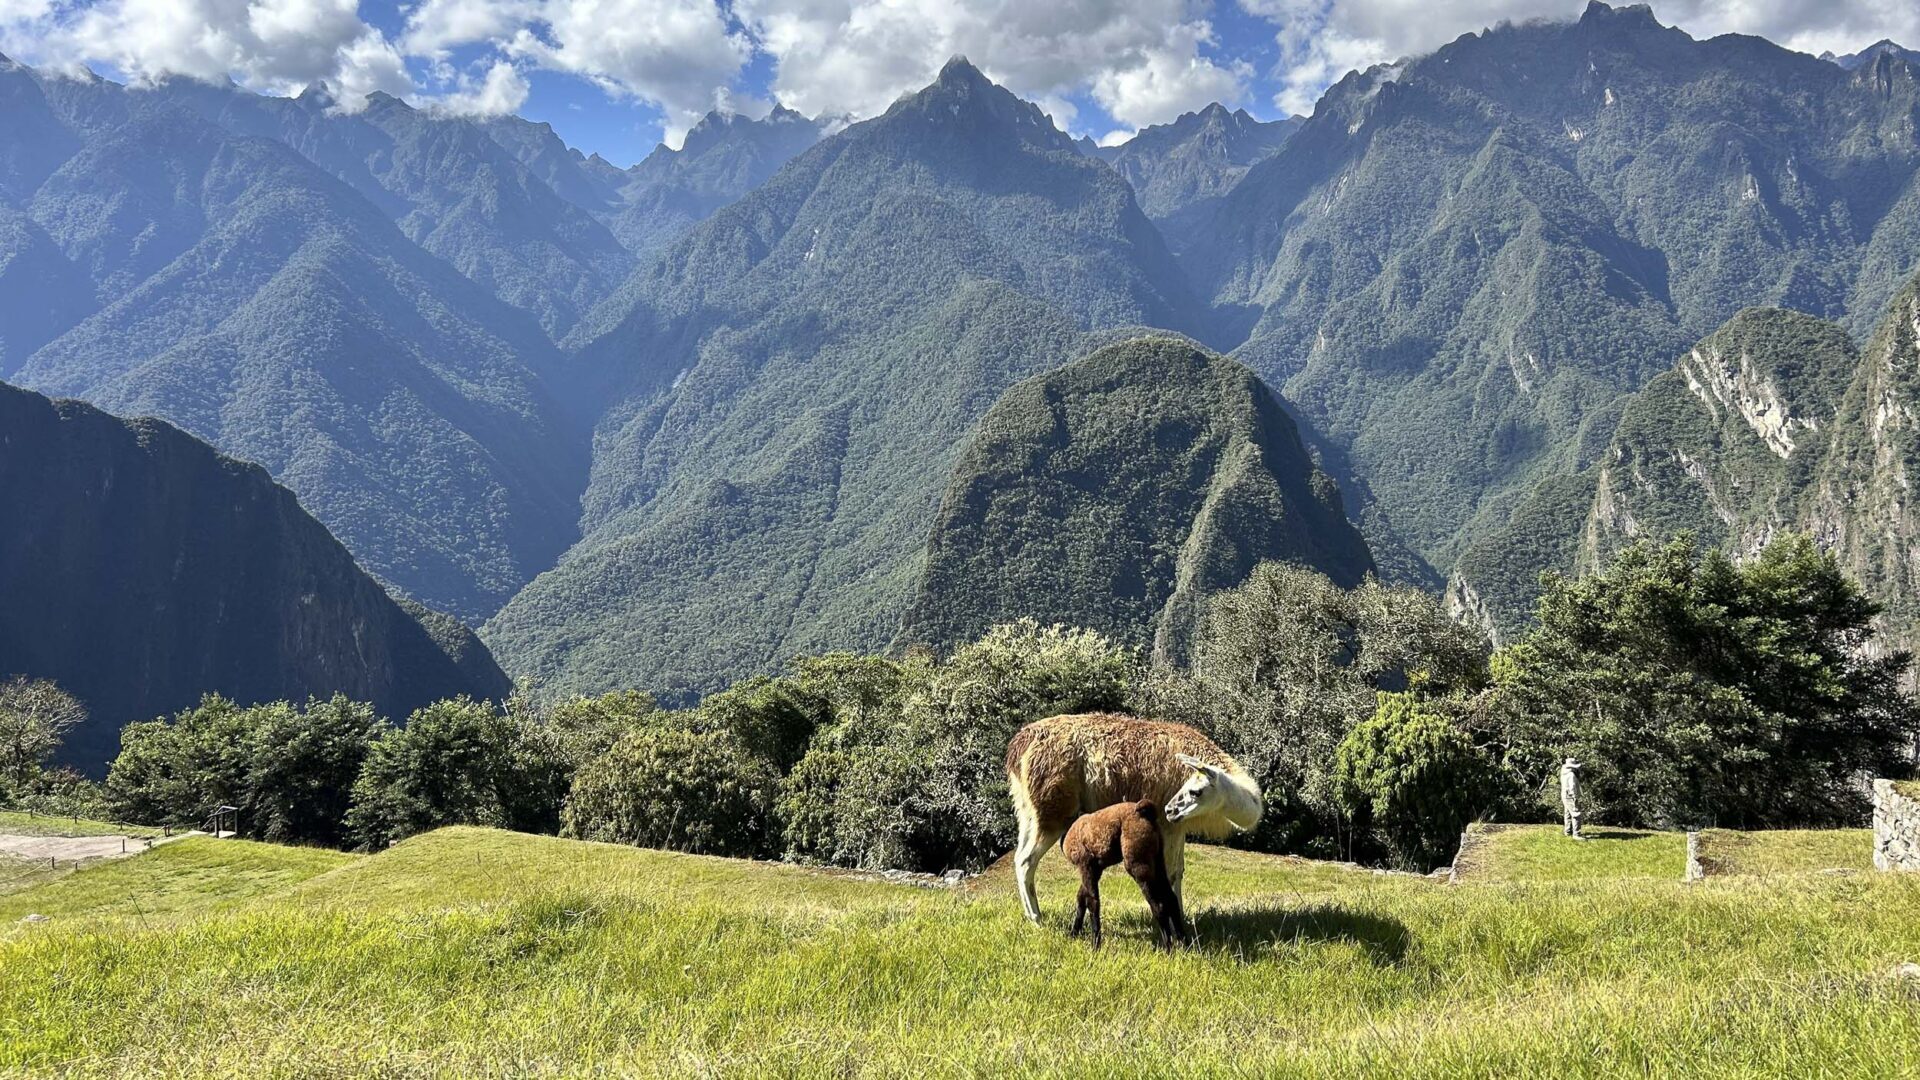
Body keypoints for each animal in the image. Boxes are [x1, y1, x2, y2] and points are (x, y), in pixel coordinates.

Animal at [1005, 712, 1262, 923]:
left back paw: (1031, 916)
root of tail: (1021, 743)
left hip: (1028, 809)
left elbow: (1178, 871)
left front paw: (1181, 916)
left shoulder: (1178, 826)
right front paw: (1175, 920)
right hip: (1054, 809)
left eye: (1194, 790)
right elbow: (1169, 872)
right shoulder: (1167, 825)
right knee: (1026, 860)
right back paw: (1038, 920)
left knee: (1019, 856)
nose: (1170, 809)